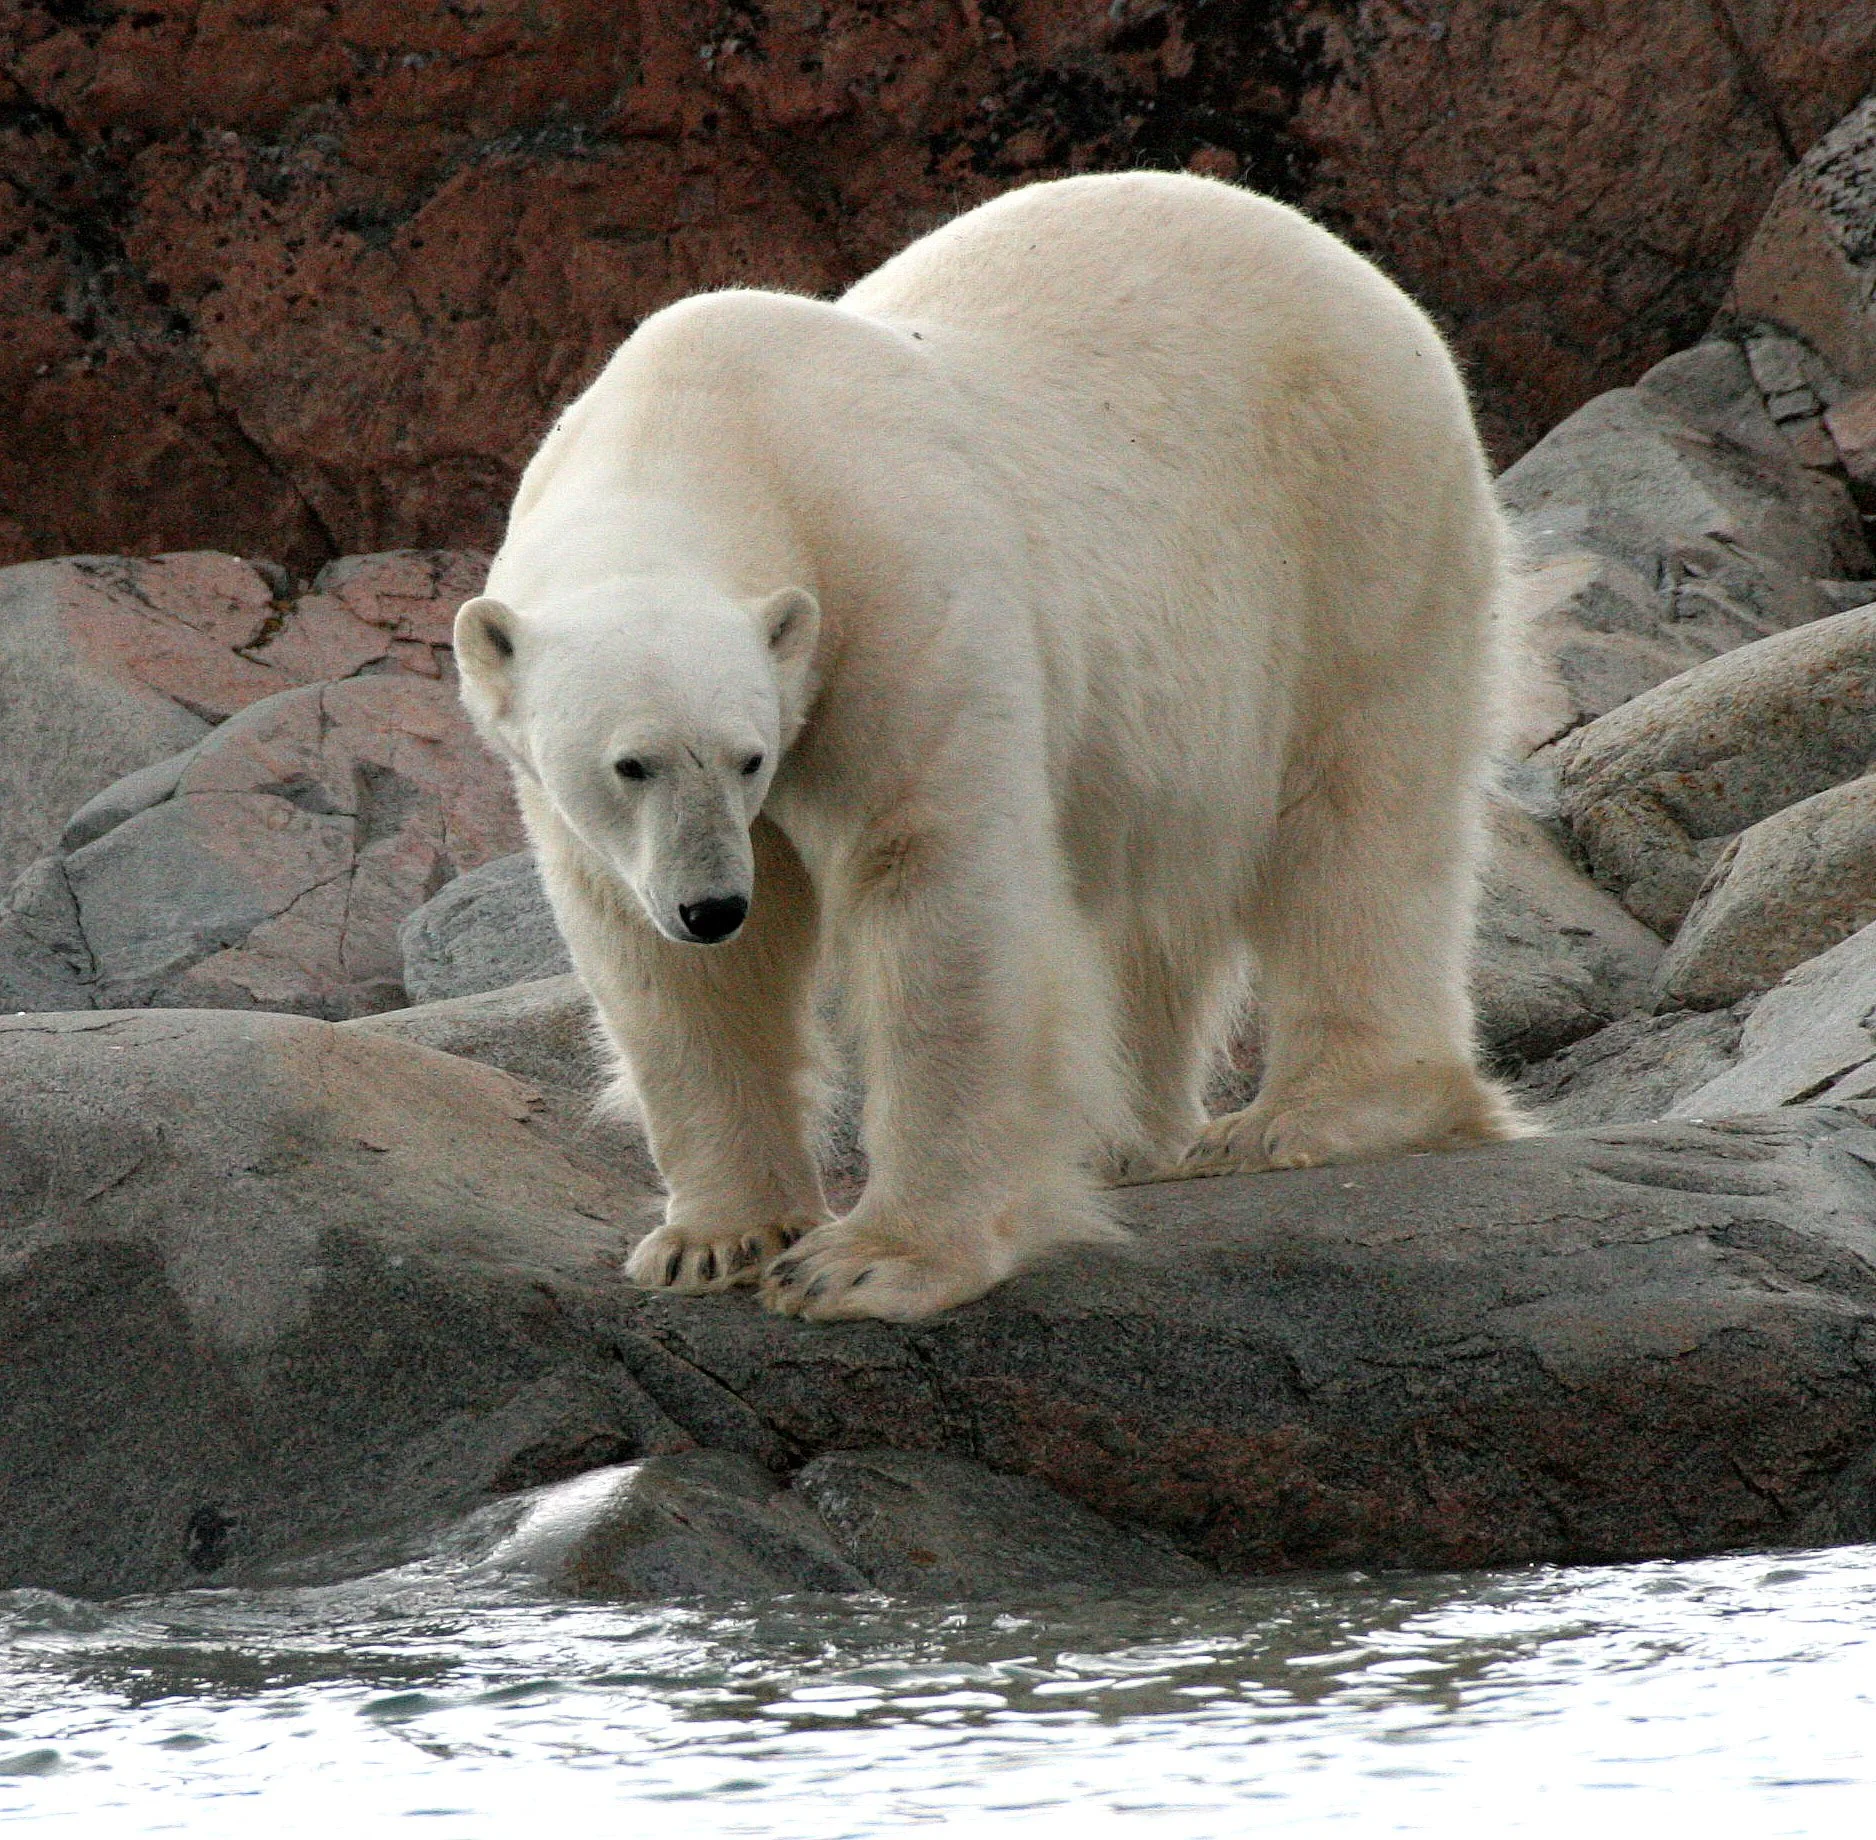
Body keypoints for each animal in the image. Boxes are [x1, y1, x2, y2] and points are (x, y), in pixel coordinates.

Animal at [454, 171, 1526, 1325]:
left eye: (748, 757)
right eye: (629, 765)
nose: (712, 905)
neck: (704, 430)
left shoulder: (896, 593)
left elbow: (933, 889)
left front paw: (868, 1261)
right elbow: (669, 972)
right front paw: (713, 1239)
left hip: (1354, 525)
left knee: (1359, 812)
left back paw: (1314, 1114)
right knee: (1144, 888)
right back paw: (1129, 1143)